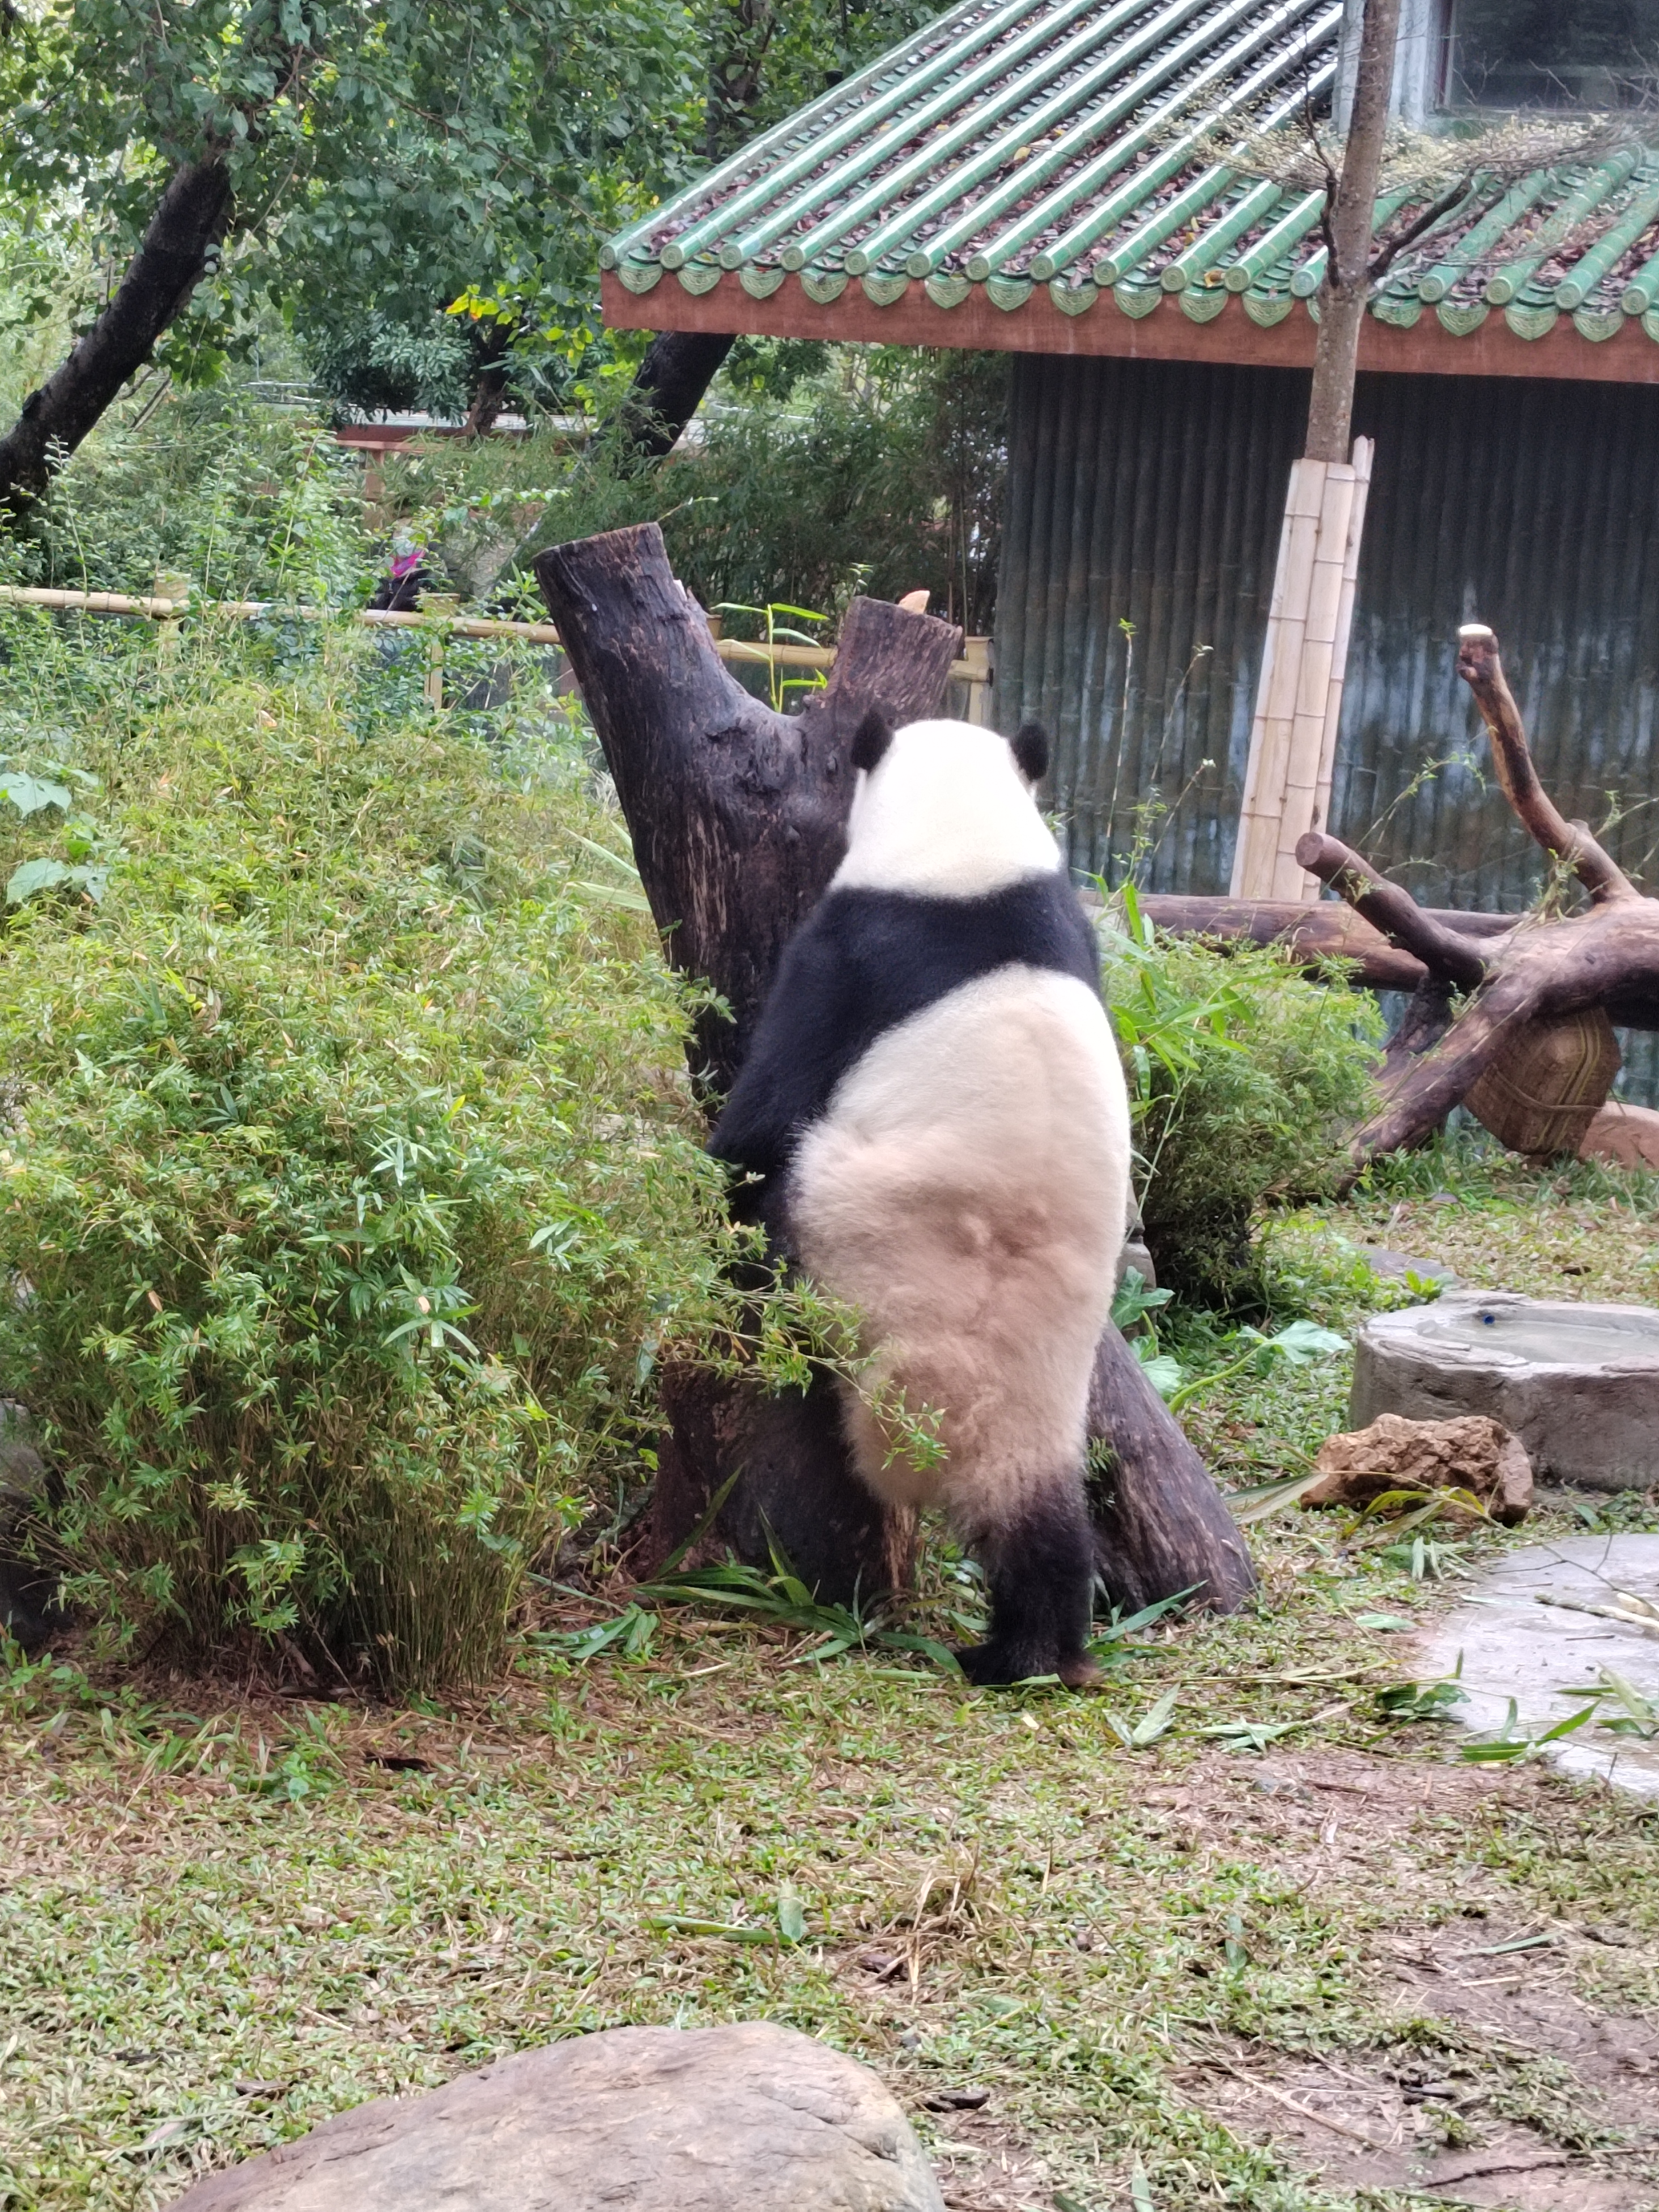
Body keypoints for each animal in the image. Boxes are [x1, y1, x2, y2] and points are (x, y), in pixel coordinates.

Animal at [708, 716, 1141, 1681]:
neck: (970, 859)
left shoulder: (848, 954)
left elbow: (766, 1112)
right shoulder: (1074, 926)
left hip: (848, 1241)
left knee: (789, 1222)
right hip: (1047, 1403)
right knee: (1044, 1531)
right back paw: (1030, 1651)